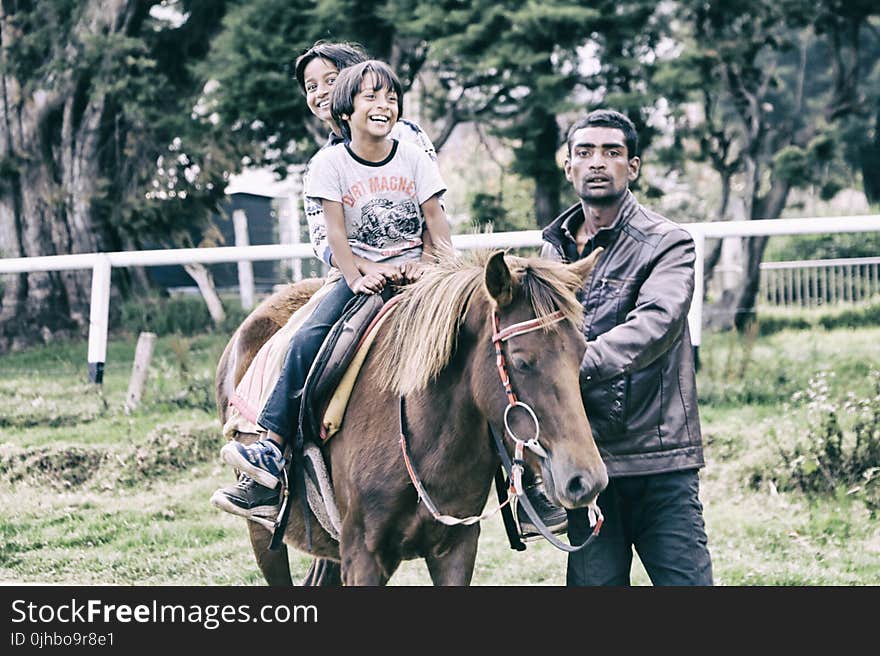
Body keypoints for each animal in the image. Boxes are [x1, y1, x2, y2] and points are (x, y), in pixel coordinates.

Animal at [216, 250, 608, 584]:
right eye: (522, 361)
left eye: (581, 354)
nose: (585, 481)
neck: (420, 436)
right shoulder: (363, 556)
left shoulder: (456, 548)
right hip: (263, 535)